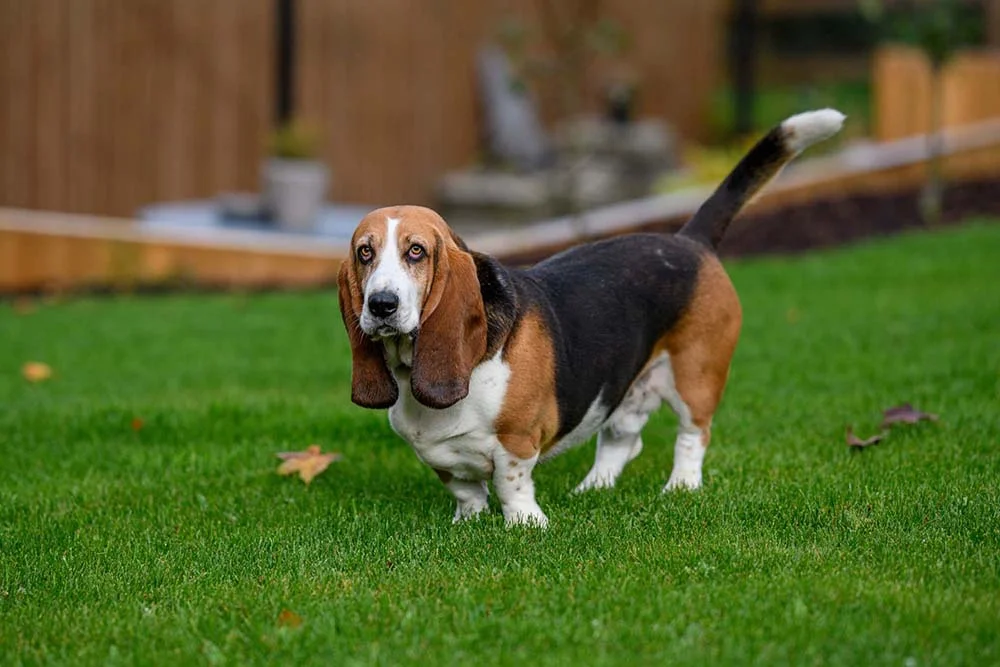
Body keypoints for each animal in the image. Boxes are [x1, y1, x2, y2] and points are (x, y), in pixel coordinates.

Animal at [338, 108, 844, 528]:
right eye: (365, 253)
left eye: (416, 252)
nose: (381, 305)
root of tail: (689, 240)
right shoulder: (439, 458)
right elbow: (466, 489)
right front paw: (470, 522)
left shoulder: (517, 443)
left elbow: (511, 484)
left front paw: (526, 525)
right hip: (625, 390)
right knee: (624, 441)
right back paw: (592, 489)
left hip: (696, 374)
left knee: (693, 434)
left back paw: (680, 487)